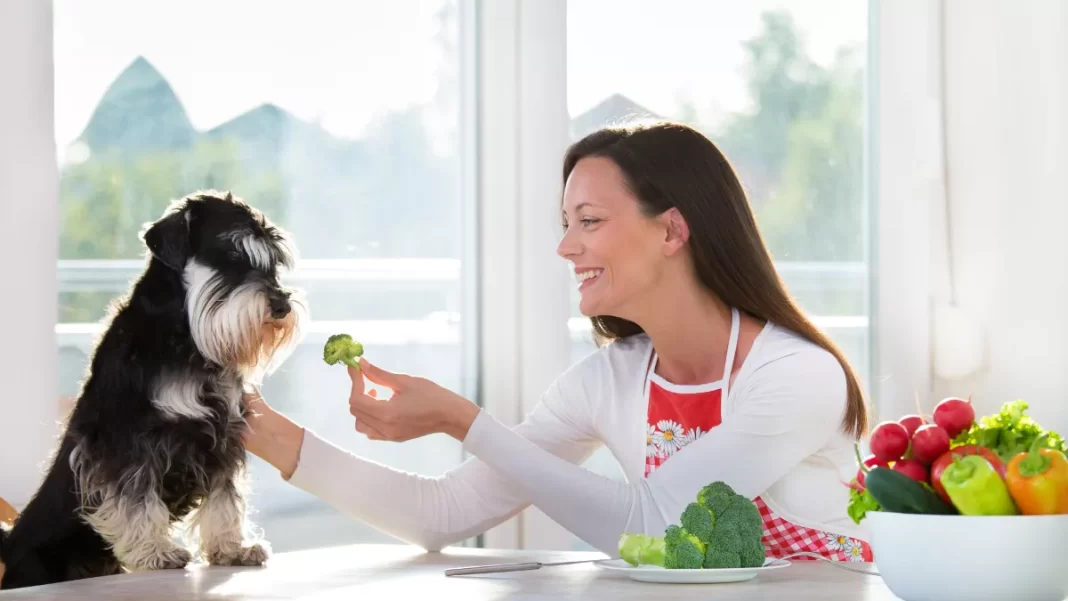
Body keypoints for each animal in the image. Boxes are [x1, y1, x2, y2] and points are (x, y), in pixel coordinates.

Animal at [1, 190, 309, 589]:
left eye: (273, 263)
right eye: (230, 256)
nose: (282, 304)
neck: (184, 337)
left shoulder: (224, 436)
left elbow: (226, 498)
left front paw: (232, 548)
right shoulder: (132, 437)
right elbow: (136, 498)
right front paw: (156, 553)